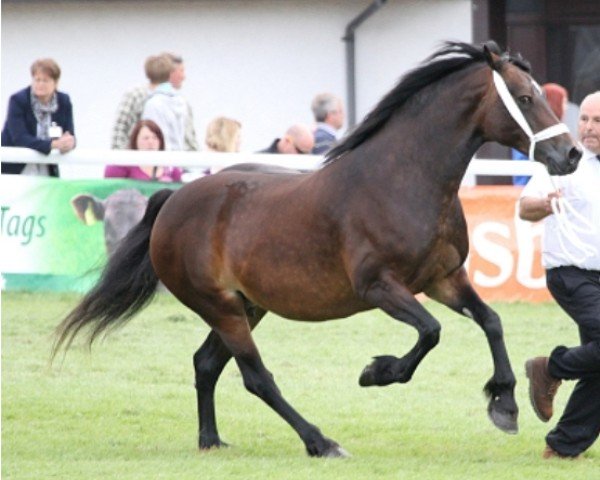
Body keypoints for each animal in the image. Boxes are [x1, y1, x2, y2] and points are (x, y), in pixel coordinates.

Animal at [52, 42, 580, 458]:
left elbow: (491, 321)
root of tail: (173, 202)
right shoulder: (379, 287)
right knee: (256, 377)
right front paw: (377, 372)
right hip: (221, 307)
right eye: (527, 98)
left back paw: (211, 440)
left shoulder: (443, 279)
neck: (403, 180)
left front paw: (505, 404)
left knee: (206, 364)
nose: (571, 154)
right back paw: (320, 442)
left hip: (246, 305)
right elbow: (430, 332)